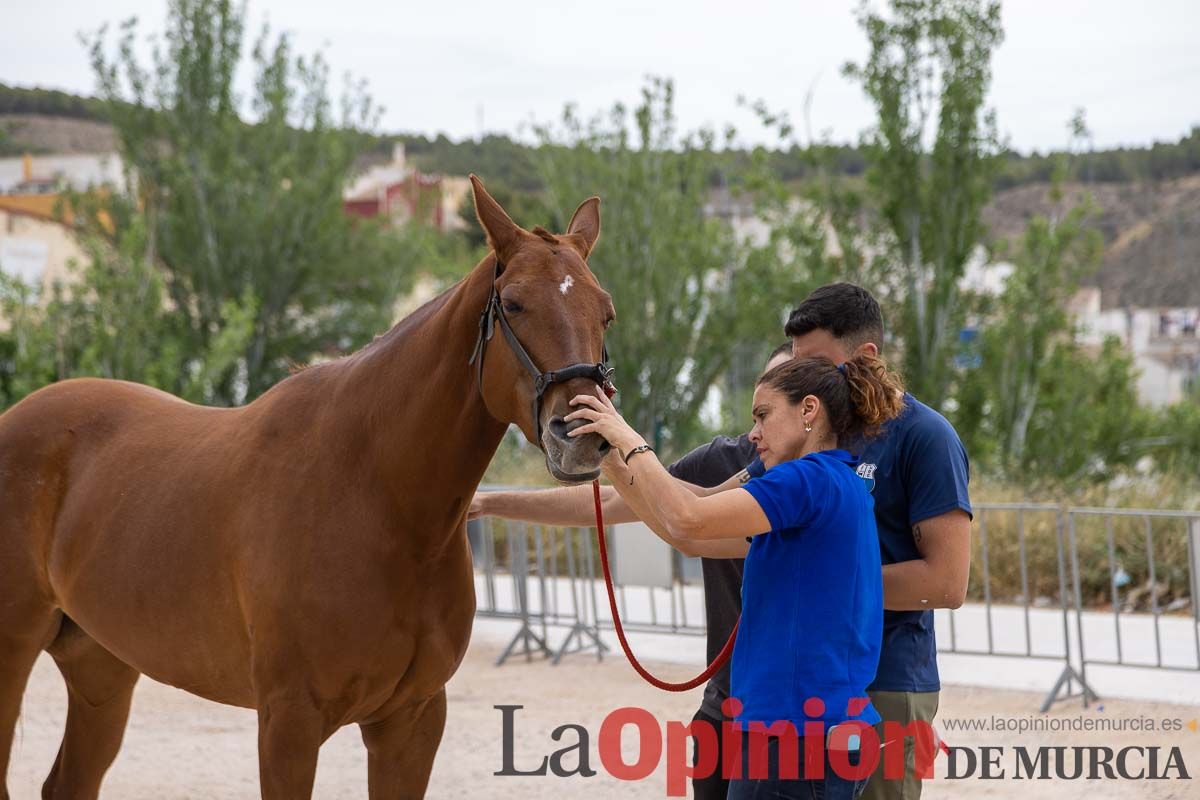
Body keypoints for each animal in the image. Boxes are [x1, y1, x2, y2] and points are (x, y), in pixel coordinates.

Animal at [0, 178, 614, 796]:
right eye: (513, 304)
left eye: (605, 313)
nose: (581, 435)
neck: (379, 502)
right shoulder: (288, 722)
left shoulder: (411, 721)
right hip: (16, 655)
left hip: (101, 666)